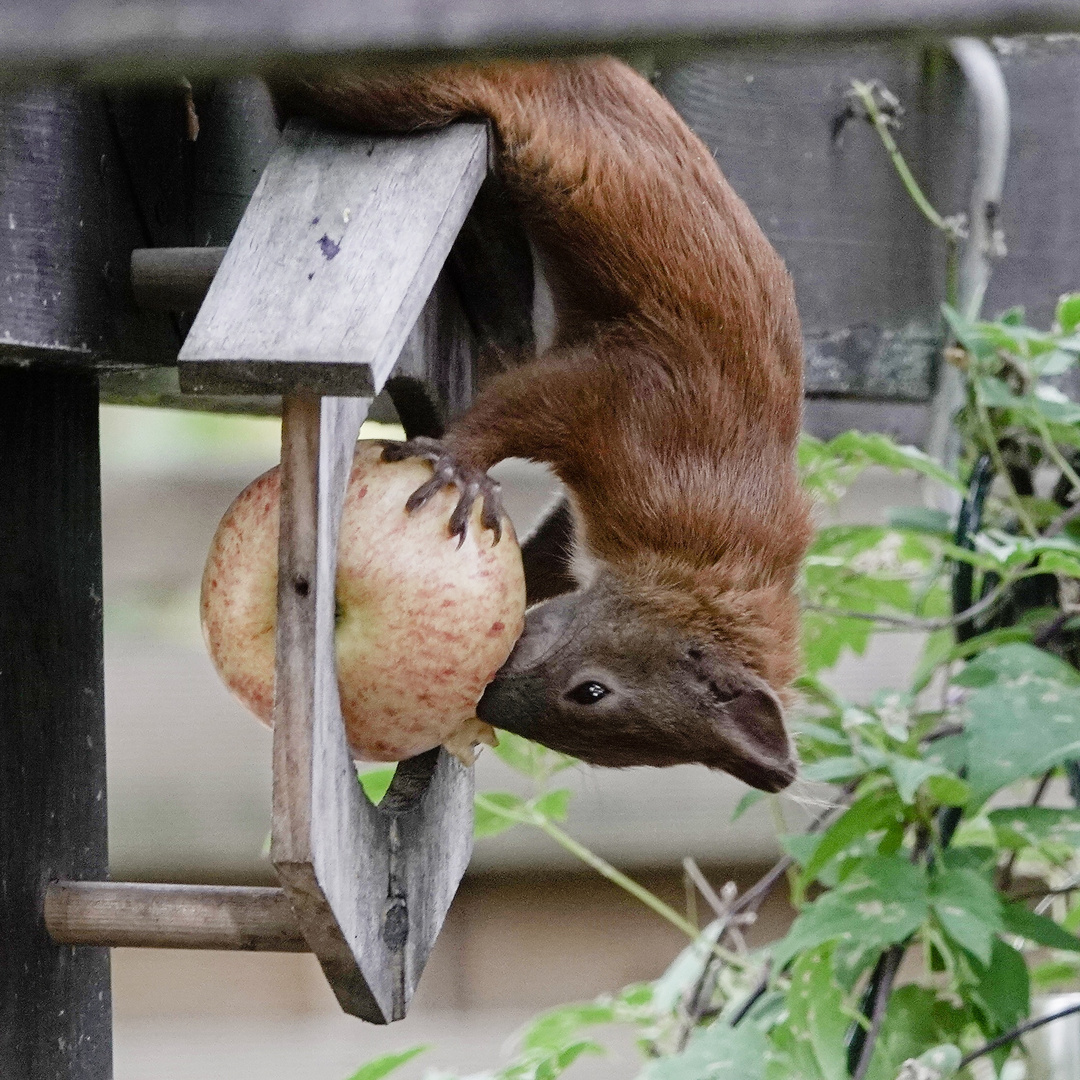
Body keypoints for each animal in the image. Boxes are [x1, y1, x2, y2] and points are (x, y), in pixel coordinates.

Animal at [270, 59, 812, 790]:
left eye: (591, 732)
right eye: (593, 691)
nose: (486, 697)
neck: (705, 547)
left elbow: (552, 543)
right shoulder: (632, 398)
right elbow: (522, 405)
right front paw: (460, 468)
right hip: (392, 94)